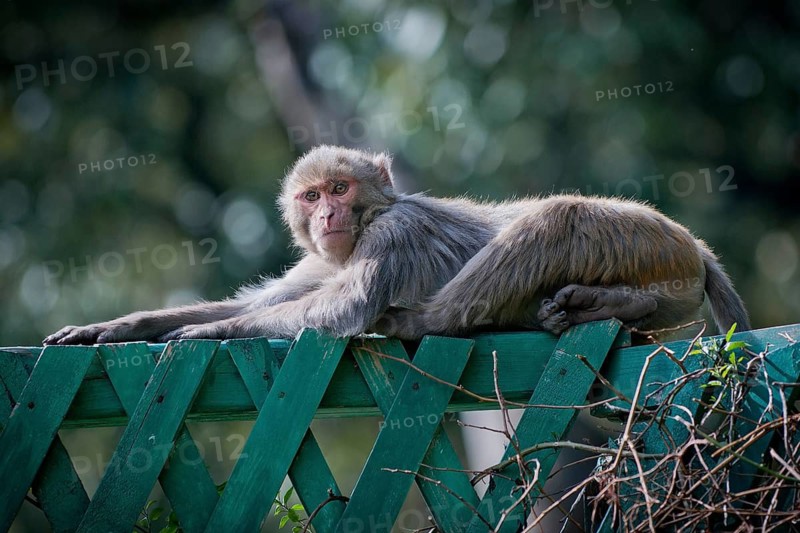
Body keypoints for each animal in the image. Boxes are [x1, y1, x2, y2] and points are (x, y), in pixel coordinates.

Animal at [43, 145, 750, 346]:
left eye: (339, 187)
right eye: (311, 196)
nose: (328, 212)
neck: (368, 221)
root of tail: (695, 248)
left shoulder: (391, 235)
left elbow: (343, 308)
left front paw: (214, 334)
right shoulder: (321, 256)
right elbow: (275, 301)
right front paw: (124, 325)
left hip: (640, 238)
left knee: (558, 219)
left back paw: (421, 321)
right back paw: (612, 308)